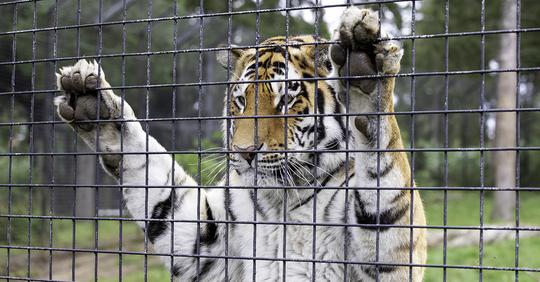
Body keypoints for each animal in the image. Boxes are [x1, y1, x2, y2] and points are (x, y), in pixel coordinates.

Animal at [53, 6, 426, 282]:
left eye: (286, 98)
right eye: (241, 101)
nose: (245, 153)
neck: (281, 203)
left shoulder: (390, 258)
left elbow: (384, 177)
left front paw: (366, 70)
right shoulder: (206, 243)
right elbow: (158, 186)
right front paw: (92, 100)